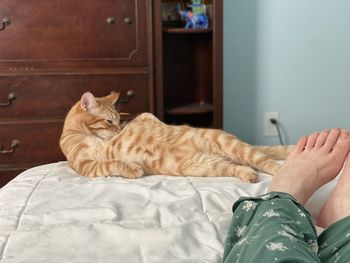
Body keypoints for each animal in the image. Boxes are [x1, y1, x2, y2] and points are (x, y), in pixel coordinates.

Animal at [59, 93, 292, 184]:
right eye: (109, 121)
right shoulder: (87, 165)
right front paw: (133, 168)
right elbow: (113, 163)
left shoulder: (144, 115)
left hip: (234, 147)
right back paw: (248, 174)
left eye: (118, 120)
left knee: (268, 162)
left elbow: (150, 118)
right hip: (205, 166)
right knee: (240, 167)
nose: (117, 131)